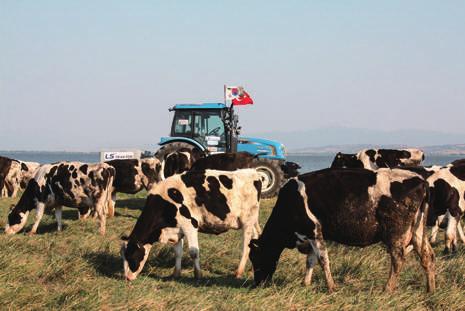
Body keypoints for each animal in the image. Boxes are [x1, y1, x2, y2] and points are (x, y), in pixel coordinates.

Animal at [120, 169, 260, 282]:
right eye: (123, 256)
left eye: (131, 256)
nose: (127, 278)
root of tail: (253, 172)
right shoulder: (176, 229)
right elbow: (178, 252)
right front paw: (176, 274)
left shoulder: (190, 225)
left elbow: (193, 252)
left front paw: (198, 275)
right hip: (251, 222)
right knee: (256, 237)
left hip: (247, 221)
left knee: (246, 245)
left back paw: (239, 272)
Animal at [248, 169, 434, 294]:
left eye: (255, 257)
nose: (258, 284)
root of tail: (421, 181)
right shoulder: (312, 235)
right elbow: (311, 260)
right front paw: (305, 283)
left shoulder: (313, 230)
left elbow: (323, 260)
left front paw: (331, 287)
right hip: (417, 230)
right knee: (427, 256)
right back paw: (430, 289)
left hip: (395, 232)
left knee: (398, 259)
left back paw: (387, 289)